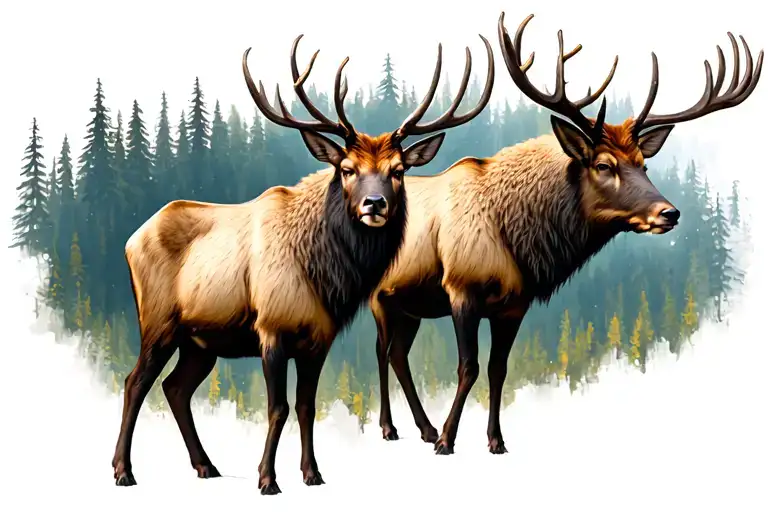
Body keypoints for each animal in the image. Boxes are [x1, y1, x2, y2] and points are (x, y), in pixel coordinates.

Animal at [110, 33, 495, 495]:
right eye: (346, 168)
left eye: (399, 170)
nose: (375, 203)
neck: (325, 277)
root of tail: (131, 239)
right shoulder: (271, 330)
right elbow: (277, 408)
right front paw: (267, 479)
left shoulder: (318, 338)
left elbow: (306, 406)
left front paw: (312, 474)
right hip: (159, 322)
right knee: (135, 382)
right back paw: (124, 470)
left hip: (201, 341)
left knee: (175, 388)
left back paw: (206, 465)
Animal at [370, 12, 763, 456]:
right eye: (604, 165)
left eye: (643, 163)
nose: (669, 212)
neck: (517, 239)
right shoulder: (461, 289)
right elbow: (468, 366)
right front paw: (448, 441)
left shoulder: (514, 304)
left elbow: (498, 368)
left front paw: (495, 440)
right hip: (379, 297)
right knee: (382, 352)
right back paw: (392, 428)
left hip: (410, 305)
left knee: (399, 355)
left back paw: (424, 427)